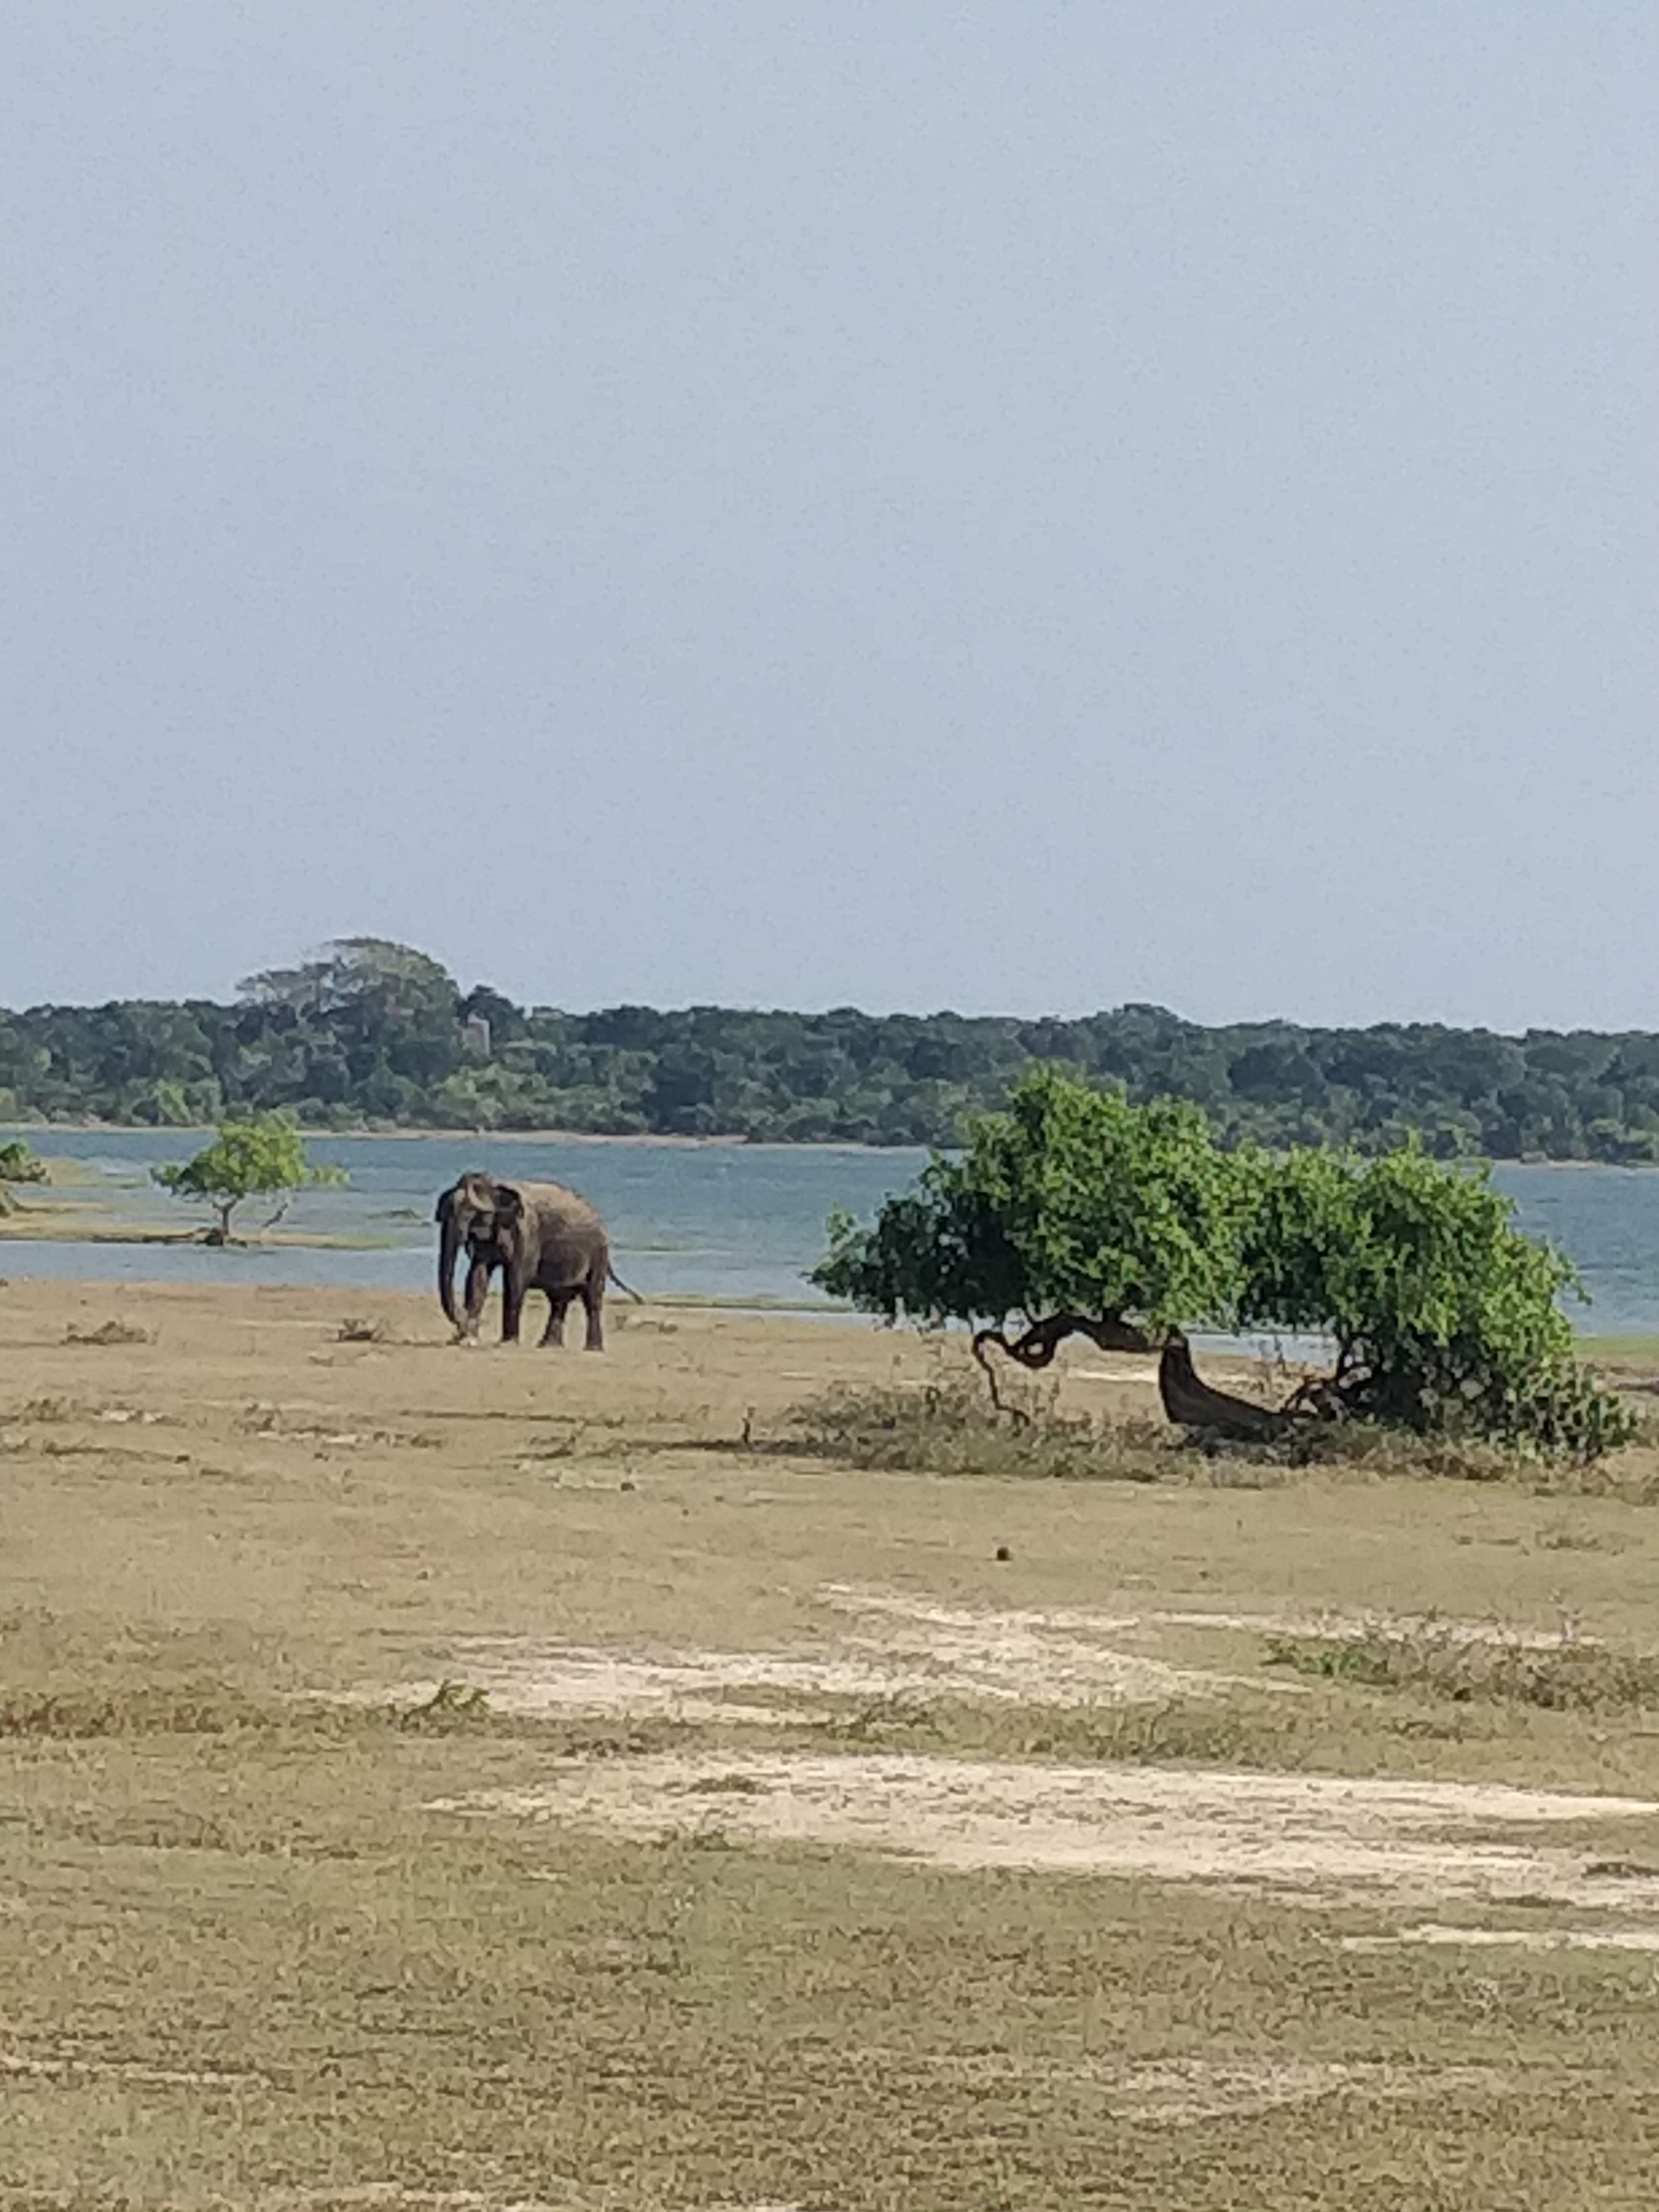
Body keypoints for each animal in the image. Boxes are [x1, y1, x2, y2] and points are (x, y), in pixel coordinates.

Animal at [435, 1177, 641, 1345]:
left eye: (469, 1214)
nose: (462, 1330)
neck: (496, 1186)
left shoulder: (528, 1233)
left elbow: (516, 1279)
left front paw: (507, 1343)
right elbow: (478, 1277)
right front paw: (469, 1338)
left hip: (598, 1254)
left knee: (592, 1299)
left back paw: (593, 1349)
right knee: (559, 1300)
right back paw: (548, 1346)